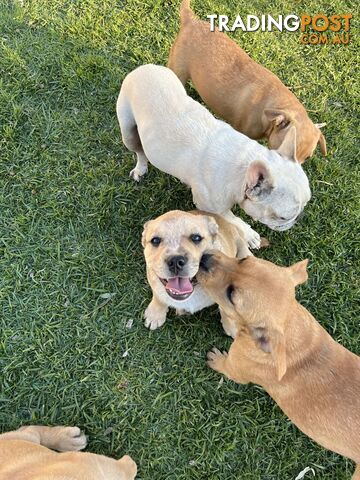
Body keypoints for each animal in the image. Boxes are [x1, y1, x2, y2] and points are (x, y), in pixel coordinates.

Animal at [116, 64, 310, 249]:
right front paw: (250, 235)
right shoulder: (210, 207)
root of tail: (144, 68)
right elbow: (234, 220)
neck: (242, 165)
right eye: (284, 217)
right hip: (128, 130)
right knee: (139, 151)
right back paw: (140, 169)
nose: (299, 217)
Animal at [198, 253, 360, 478]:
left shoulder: (236, 369)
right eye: (244, 260)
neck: (290, 325)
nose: (204, 257)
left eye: (231, 294)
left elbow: (225, 364)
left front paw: (216, 358)